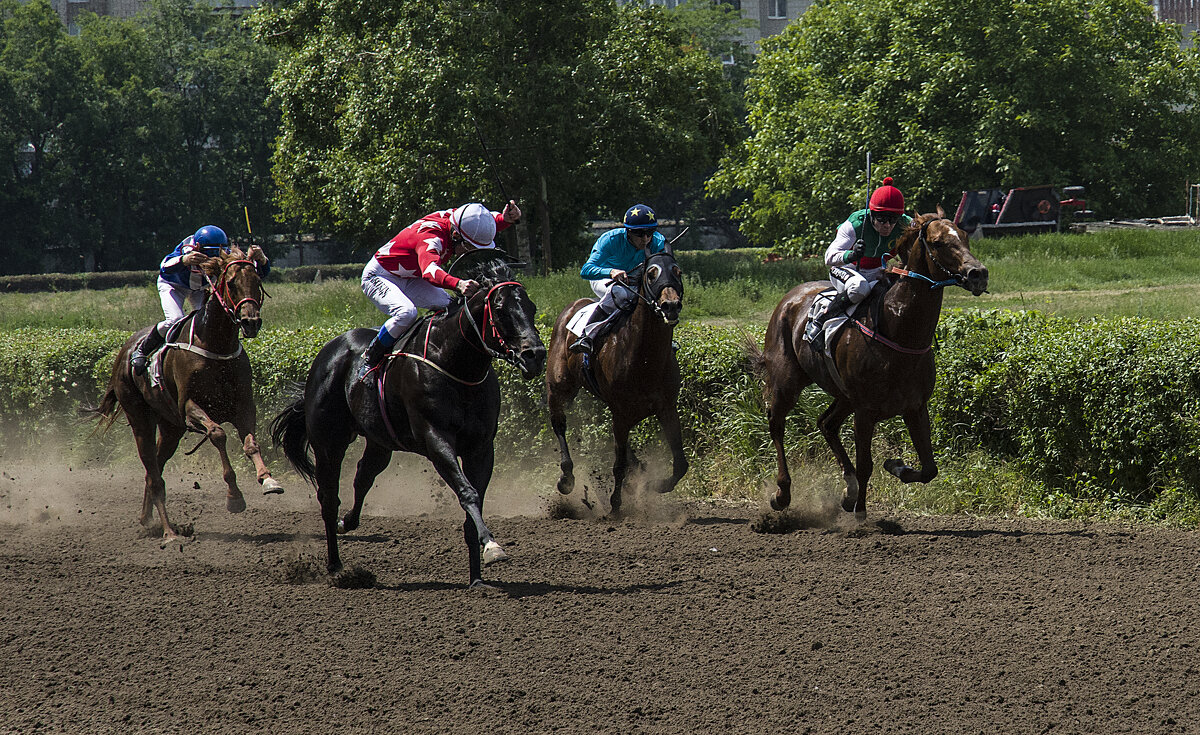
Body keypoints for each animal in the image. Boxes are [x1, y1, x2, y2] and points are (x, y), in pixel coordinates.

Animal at [91, 249, 280, 542]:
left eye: (257, 282)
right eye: (231, 283)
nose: (251, 322)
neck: (216, 345)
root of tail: (123, 354)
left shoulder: (243, 405)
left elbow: (251, 443)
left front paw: (268, 480)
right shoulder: (190, 406)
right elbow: (217, 434)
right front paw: (234, 496)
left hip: (171, 428)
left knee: (154, 470)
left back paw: (147, 519)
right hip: (140, 419)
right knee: (153, 473)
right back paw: (169, 531)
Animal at [270, 255, 547, 588]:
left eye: (531, 307)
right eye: (501, 309)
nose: (535, 355)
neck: (455, 364)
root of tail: (328, 352)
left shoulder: (481, 448)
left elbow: (474, 499)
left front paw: (477, 578)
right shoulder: (435, 439)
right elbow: (467, 492)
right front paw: (492, 547)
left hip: (379, 441)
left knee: (363, 476)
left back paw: (347, 522)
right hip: (329, 442)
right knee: (328, 498)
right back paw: (336, 565)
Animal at [547, 249, 686, 514]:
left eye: (678, 271)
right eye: (651, 274)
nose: (671, 305)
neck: (645, 359)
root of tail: (572, 307)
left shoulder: (667, 408)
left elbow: (680, 463)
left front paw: (654, 484)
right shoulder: (620, 413)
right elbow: (618, 464)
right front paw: (615, 505)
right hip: (559, 385)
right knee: (558, 422)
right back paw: (566, 478)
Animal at [753, 210, 988, 518]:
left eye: (964, 236)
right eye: (938, 243)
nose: (978, 274)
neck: (898, 332)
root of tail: (790, 297)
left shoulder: (914, 407)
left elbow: (929, 469)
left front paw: (896, 466)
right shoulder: (865, 411)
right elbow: (866, 465)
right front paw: (860, 512)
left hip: (843, 396)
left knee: (826, 423)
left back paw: (848, 488)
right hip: (787, 382)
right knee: (776, 423)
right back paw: (782, 493)